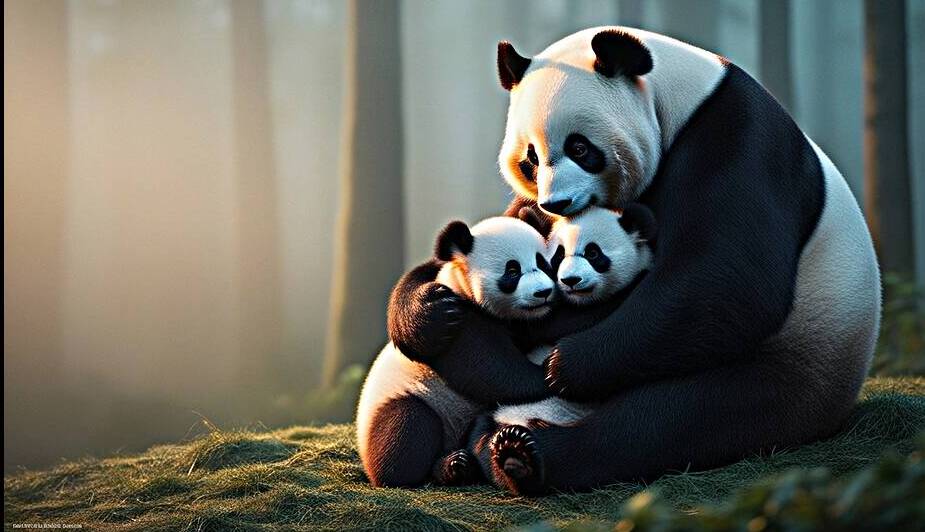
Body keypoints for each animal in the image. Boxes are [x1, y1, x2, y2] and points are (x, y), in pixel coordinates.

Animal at [356, 215, 557, 488]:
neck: (459, 282)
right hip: (407, 402)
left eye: (543, 263)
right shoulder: (461, 321)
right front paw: (545, 377)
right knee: (408, 427)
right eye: (512, 271)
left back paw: (458, 465)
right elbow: (487, 368)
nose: (543, 292)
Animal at [388, 26, 881, 494]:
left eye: (580, 148)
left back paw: (528, 455)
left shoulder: (740, 138)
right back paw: (491, 445)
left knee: (675, 419)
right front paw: (428, 313)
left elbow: (726, 282)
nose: (556, 203)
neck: (680, 98)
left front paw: (564, 365)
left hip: (789, 369)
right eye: (530, 159)